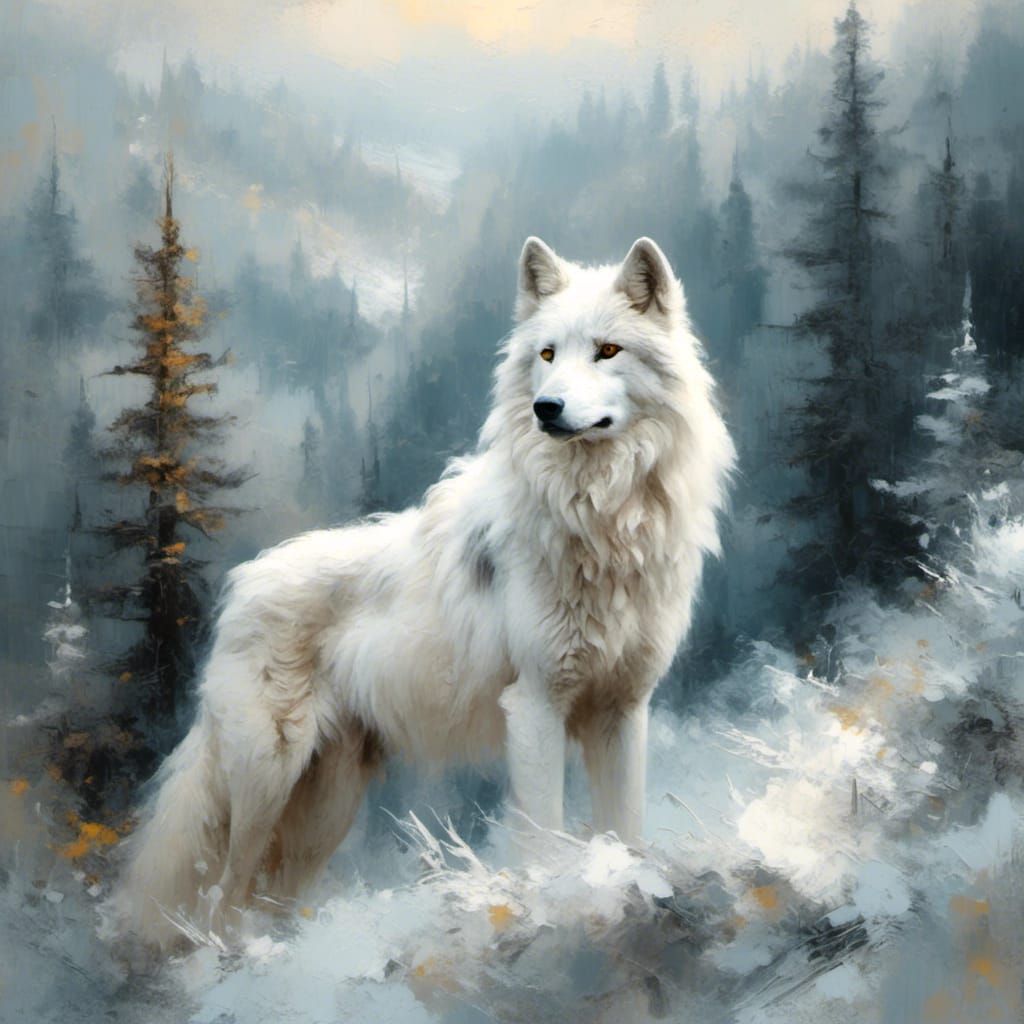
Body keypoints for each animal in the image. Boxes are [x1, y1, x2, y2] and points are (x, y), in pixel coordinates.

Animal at [117, 236, 734, 947]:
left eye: (608, 350)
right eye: (548, 355)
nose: (545, 409)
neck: (601, 516)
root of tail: (240, 587)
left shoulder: (623, 712)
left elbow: (625, 830)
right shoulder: (536, 707)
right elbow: (545, 837)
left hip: (326, 810)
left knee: (274, 898)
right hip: (265, 783)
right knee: (222, 898)